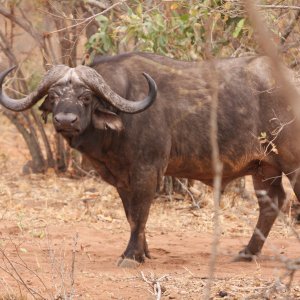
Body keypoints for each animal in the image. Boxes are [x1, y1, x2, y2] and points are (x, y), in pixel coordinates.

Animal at [0, 52, 300, 268]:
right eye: (53, 96)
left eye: (85, 97)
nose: (65, 121)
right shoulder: (122, 178)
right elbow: (131, 215)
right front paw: (142, 252)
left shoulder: (148, 171)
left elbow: (141, 212)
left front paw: (131, 256)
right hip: (264, 169)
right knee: (271, 204)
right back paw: (248, 252)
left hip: (292, 165)